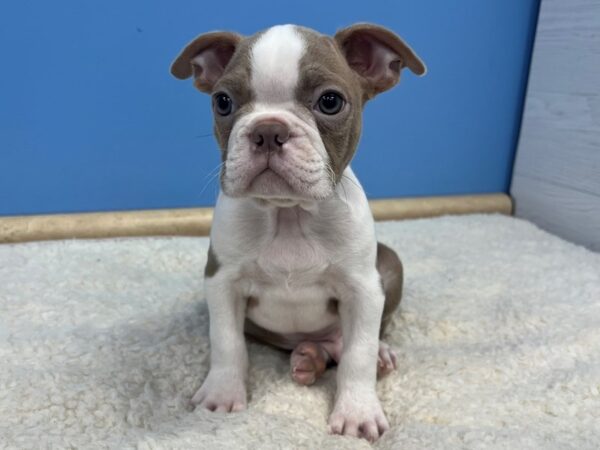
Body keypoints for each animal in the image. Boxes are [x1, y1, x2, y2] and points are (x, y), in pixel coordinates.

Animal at [171, 22, 426, 442]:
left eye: (330, 102)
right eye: (223, 102)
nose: (268, 129)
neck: (288, 214)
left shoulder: (362, 287)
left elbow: (357, 354)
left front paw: (357, 411)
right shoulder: (222, 281)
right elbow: (226, 342)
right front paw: (222, 395)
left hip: (390, 263)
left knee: (355, 341)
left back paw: (376, 354)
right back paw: (309, 358)